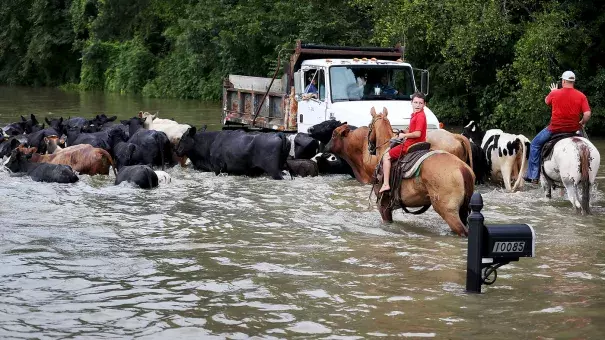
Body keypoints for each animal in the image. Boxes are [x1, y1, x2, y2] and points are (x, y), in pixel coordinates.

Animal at [324, 109, 474, 236]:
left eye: (333, 134)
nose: (325, 147)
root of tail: (462, 168)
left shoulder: (383, 205)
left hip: (448, 212)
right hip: (463, 210)